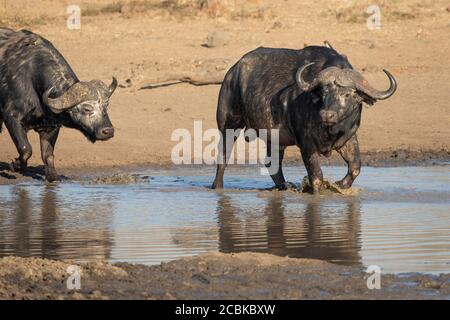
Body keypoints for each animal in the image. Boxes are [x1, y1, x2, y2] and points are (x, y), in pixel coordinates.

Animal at [212, 43, 398, 194]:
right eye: (323, 92)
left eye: (347, 94)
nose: (326, 114)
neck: (331, 129)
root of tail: (233, 72)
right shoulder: (306, 143)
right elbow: (316, 175)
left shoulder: (349, 138)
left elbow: (355, 167)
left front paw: (340, 185)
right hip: (229, 124)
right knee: (223, 156)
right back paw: (217, 187)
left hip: (275, 138)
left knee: (273, 164)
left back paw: (284, 187)